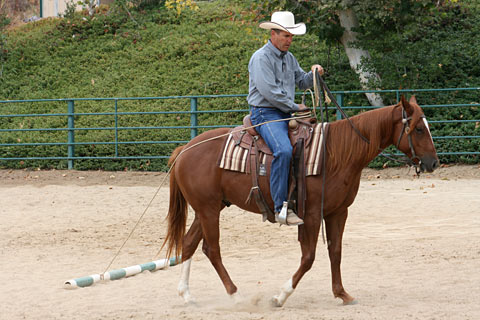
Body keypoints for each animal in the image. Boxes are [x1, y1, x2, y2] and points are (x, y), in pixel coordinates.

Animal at [161, 95, 438, 308]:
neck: (336, 153)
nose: (433, 163)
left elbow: (335, 252)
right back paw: (236, 295)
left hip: (209, 208)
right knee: (212, 249)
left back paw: (187, 296)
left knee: (189, 243)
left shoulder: (338, 212)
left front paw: (342, 294)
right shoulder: (312, 214)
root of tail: (185, 149)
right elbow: (309, 257)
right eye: (419, 128)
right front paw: (280, 297)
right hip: (208, 210)